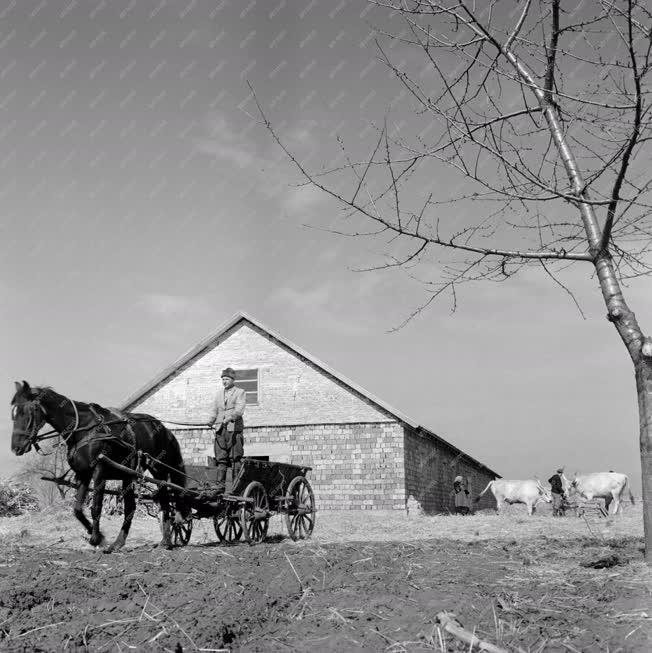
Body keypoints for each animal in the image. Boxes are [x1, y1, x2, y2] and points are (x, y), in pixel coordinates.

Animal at [10, 380, 188, 548]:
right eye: (13, 414)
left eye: (27, 411)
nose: (16, 448)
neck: (85, 429)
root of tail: (163, 428)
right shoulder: (83, 473)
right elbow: (77, 509)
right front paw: (98, 536)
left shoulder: (99, 471)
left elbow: (96, 507)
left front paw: (96, 539)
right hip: (128, 475)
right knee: (131, 507)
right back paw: (119, 543)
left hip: (159, 469)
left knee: (165, 501)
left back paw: (166, 540)